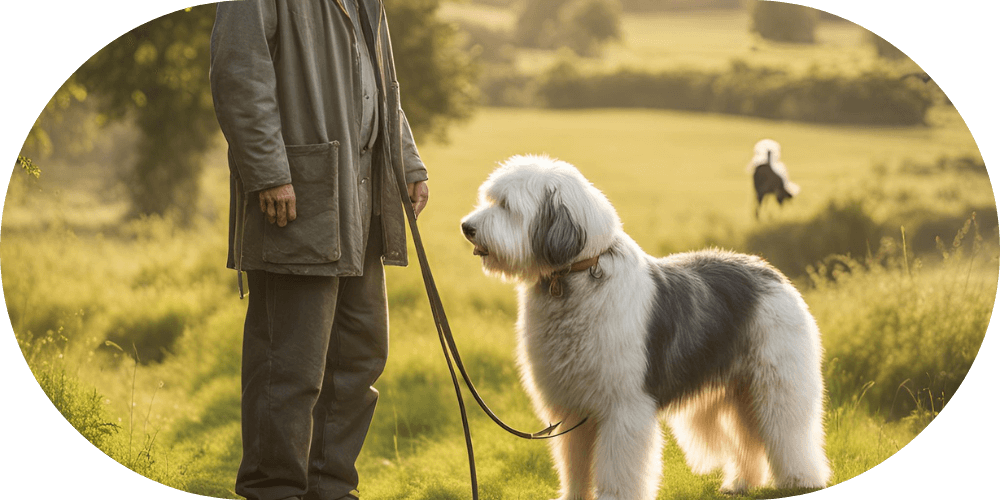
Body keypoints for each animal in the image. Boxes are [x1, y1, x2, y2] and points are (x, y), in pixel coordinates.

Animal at [458, 154, 828, 498]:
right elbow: (575, 464)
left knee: (790, 433)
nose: (466, 227)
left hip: (777, 383)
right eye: (491, 199)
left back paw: (802, 481)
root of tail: (770, 271)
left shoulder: (623, 407)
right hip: (736, 391)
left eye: (506, 206)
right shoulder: (574, 408)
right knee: (748, 439)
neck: (577, 275)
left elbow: (617, 468)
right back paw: (740, 484)